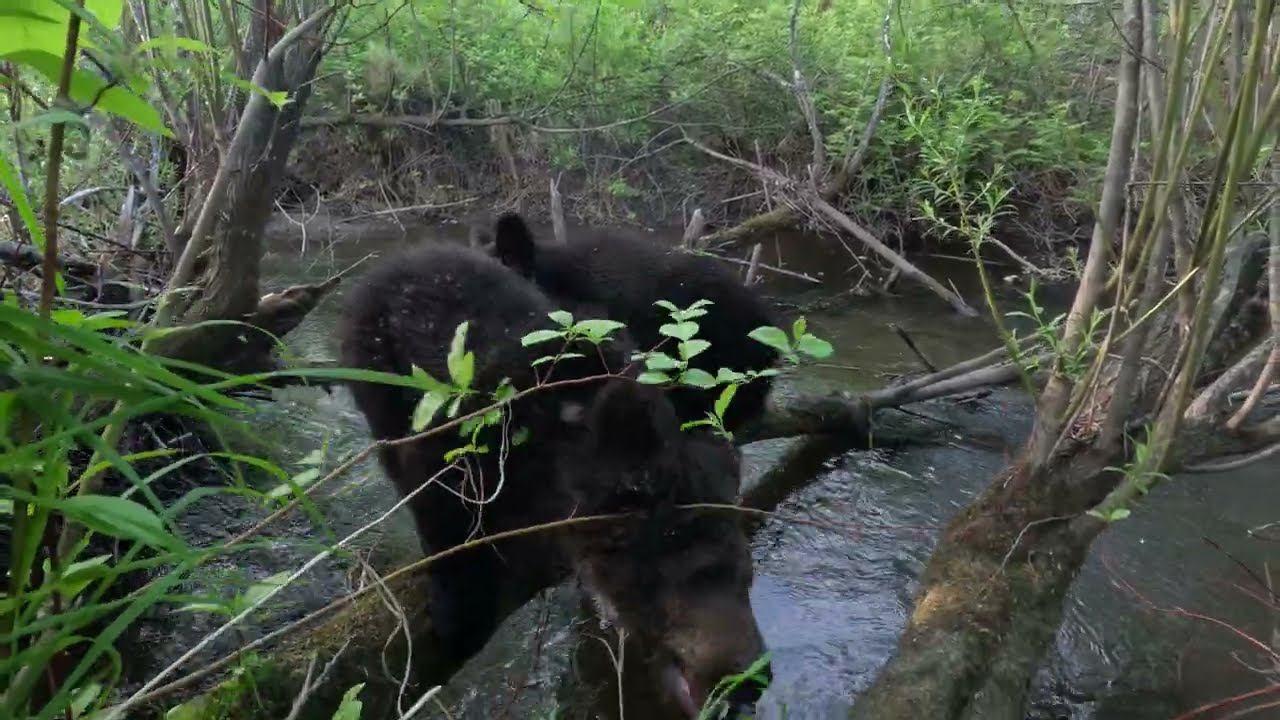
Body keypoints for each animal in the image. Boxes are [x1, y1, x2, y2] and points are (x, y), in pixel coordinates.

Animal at [335, 244, 762, 712]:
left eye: (747, 574)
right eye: (697, 573)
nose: (752, 677)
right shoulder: (457, 437)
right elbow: (441, 513)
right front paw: (458, 618)